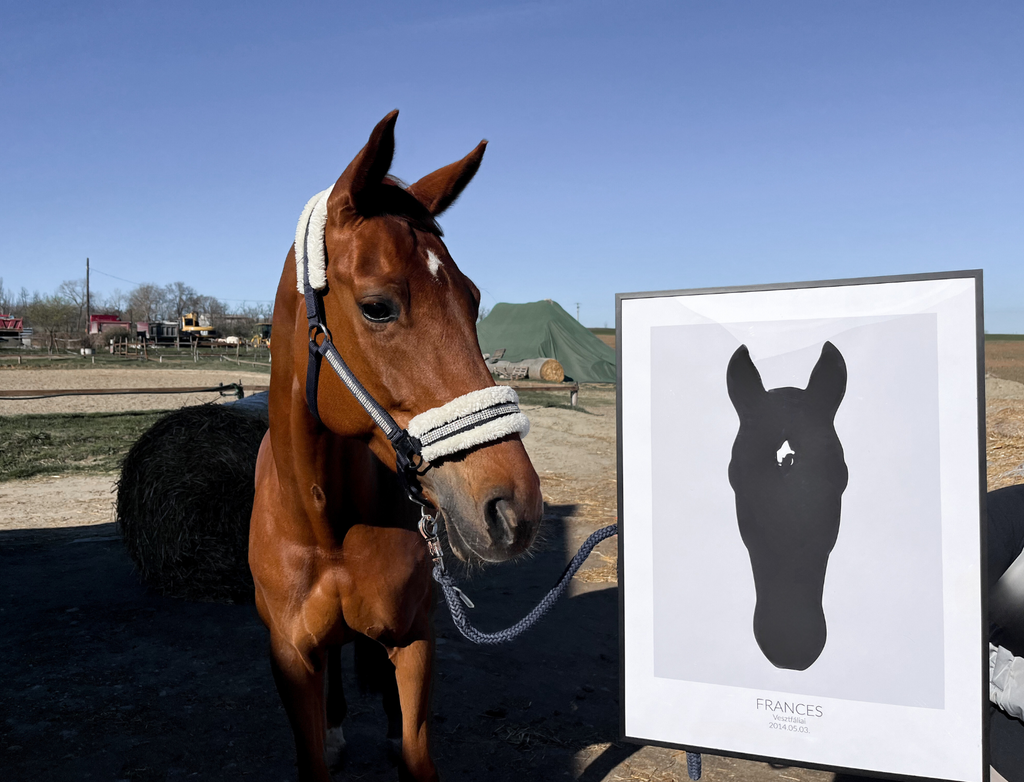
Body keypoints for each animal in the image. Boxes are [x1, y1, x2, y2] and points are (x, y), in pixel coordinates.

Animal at [249, 110, 544, 782]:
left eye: (473, 298)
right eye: (378, 306)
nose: (514, 508)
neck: (327, 526)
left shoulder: (415, 640)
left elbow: (414, 751)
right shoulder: (290, 657)